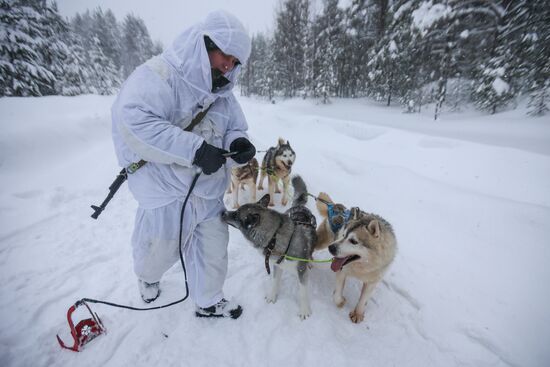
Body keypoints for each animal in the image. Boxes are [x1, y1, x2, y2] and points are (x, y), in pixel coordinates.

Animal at [223, 175, 316, 320]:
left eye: (236, 215)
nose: (223, 212)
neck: (274, 238)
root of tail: (299, 206)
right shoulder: (277, 265)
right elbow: (275, 282)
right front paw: (272, 297)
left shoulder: (301, 271)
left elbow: (302, 292)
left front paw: (304, 311)